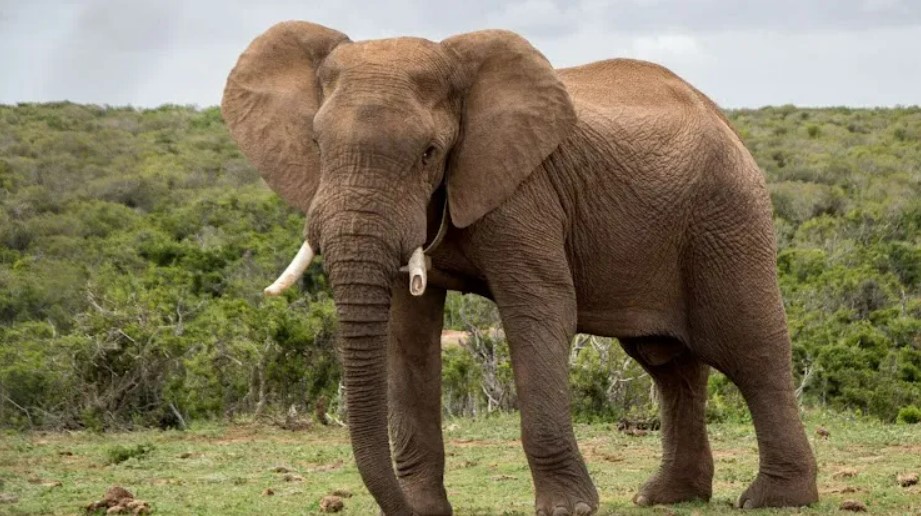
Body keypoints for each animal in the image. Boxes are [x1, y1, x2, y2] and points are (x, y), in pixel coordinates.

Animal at [221, 21, 819, 515]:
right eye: (317, 145)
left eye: (429, 152)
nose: (403, 509)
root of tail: (722, 117)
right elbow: (406, 331)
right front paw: (425, 508)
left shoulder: (525, 192)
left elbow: (540, 310)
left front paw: (568, 510)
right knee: (668, 363)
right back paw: (666, 497)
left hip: (727, 217)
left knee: (750, 348)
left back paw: (775, 500)